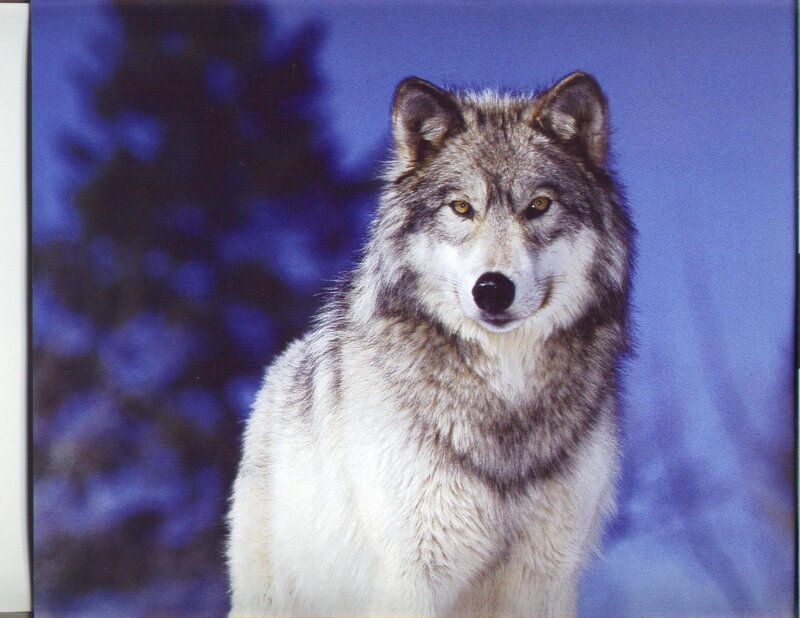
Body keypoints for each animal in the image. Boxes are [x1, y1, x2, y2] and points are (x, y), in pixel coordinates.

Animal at [227, 71, 633, 617]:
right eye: (461, 208)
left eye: (539, 205)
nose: (492, 288)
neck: (506, 396)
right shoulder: (414, 571)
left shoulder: (545, 577)